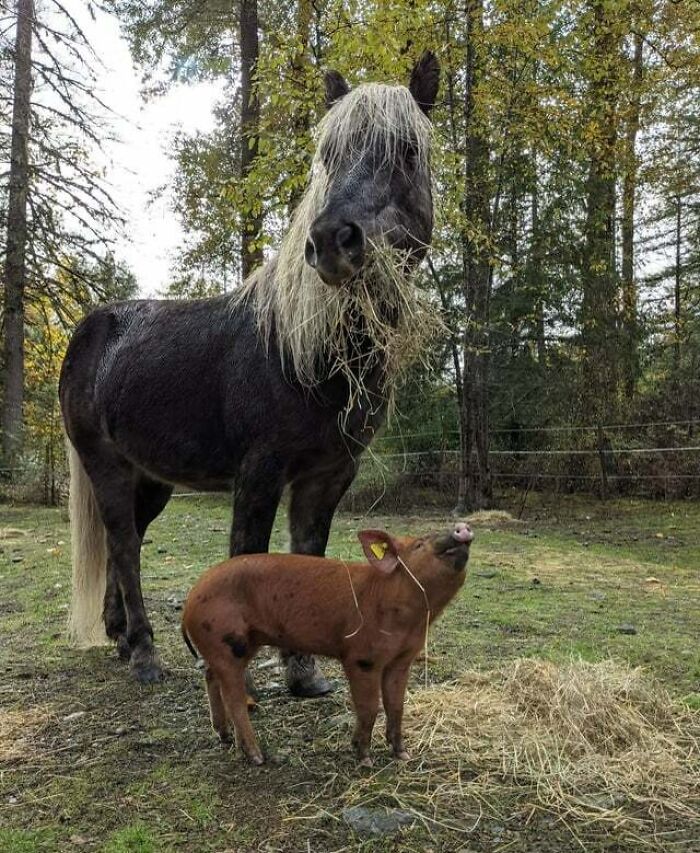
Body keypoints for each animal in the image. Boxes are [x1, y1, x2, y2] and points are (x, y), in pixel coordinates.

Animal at [59, 51, 440, 689]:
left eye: (408, 150)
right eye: (328, 154)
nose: (331, 241)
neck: (306, 353)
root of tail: (91, 328)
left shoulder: (328, 476)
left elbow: (307, 555)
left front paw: (304, 675)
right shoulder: (259, 473)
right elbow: (248, 556)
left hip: (151, 478)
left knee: (122, 541)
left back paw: (120, 636)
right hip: (105, 465)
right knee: (125, 545)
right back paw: (144, 653)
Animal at [181, 522, 474, 766]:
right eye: (419, 545)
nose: (462, 528)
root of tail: (191, 599)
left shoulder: (402, 660)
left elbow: (396, 706)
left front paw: (402, 755)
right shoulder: (360, 658)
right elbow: (369, 707)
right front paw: (365, 759)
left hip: (239, 644)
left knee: (211, 677)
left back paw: (224, 737)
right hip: (227, 641)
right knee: (234, 699)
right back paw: (257, 757)